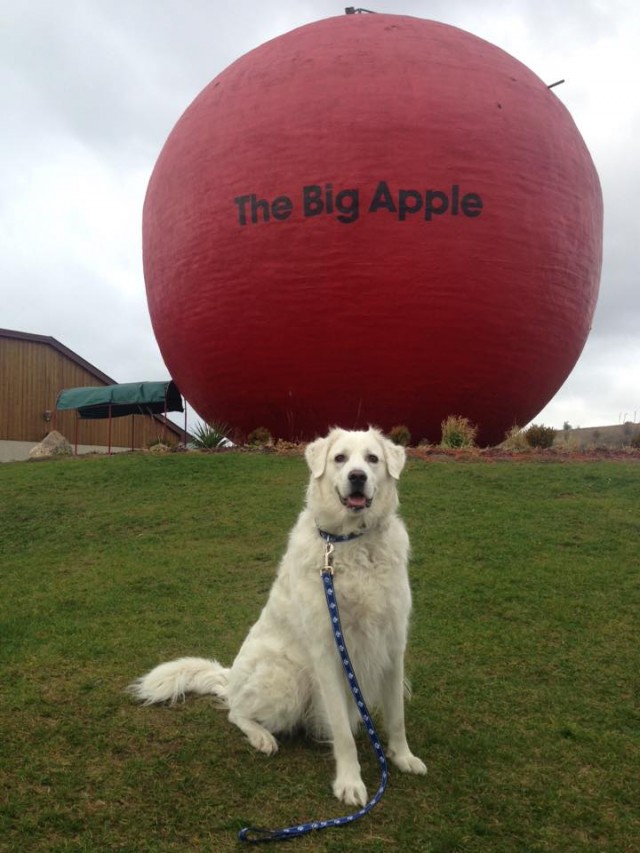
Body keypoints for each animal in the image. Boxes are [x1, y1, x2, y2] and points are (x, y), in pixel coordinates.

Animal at [129, 426, 424, 804]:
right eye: (340, 458)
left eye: (372, 459)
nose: (357, 477)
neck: (350, 542)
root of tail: (230, 678)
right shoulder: (329, 653)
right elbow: (342, 732)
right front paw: (350, 782)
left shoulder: (392, 645)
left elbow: (397, 717)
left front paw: (403, 757)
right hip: (287, 680)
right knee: (235, 712)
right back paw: (261, 737)